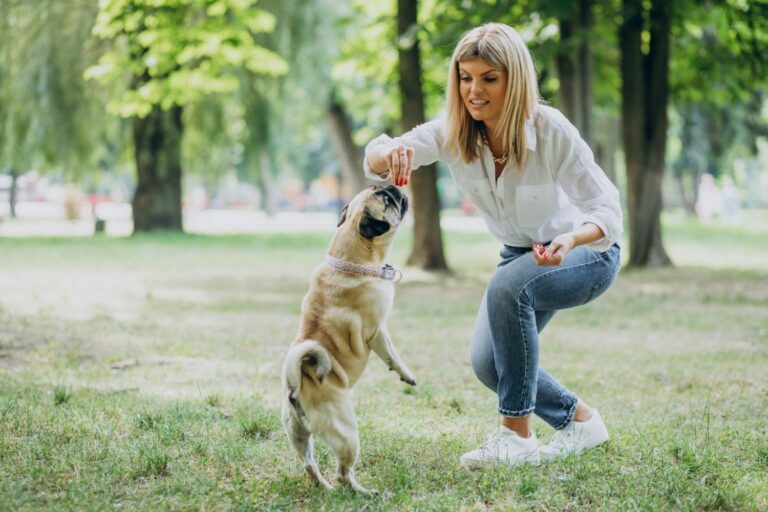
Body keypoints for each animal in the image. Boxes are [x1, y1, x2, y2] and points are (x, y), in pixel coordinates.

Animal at [280, 185, 414, 496]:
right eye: (387, 200)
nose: (393, 187)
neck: (352, 261)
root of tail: (296, 385)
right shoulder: (378, 331)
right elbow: (393, 355)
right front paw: (407, 374)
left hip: (299, 436)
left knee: (309, 465)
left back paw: (324, 486)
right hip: (348, 436)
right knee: (344, 473)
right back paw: (366, 493)